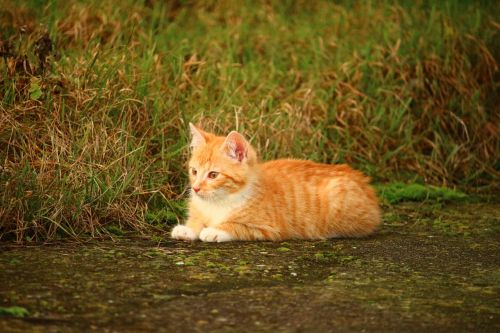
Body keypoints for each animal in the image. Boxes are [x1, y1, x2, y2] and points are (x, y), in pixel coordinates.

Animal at [170, 123, 380, 243]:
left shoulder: (269, 228)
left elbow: (237, 226)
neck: (219, 201)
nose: (196, 188)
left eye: (213, 175)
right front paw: (188, 229)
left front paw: (214, 231)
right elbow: (197, 221)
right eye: (194, 171)